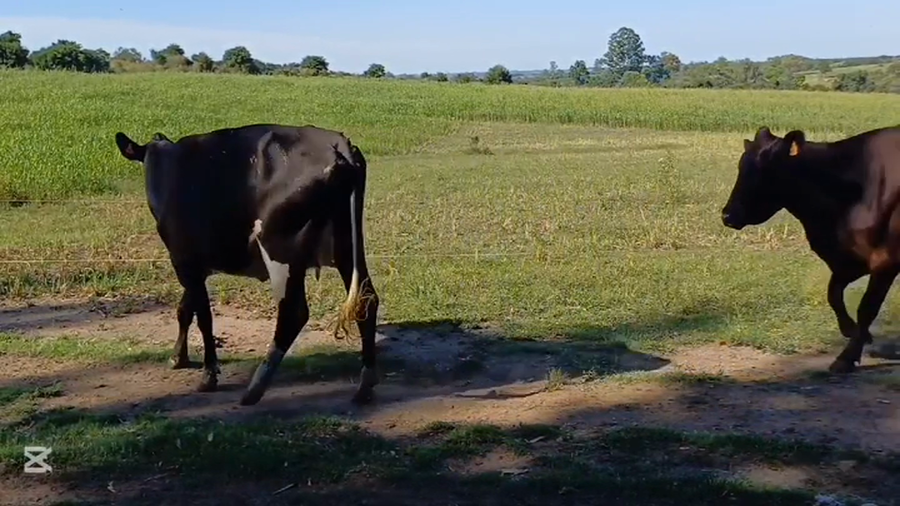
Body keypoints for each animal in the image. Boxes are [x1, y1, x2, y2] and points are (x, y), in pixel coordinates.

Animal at [114, 123, 380, 406]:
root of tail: (336, 145)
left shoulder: (183, 259)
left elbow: (203, 316)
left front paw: (208, 374)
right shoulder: (195, 265)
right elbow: (185, 308)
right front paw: (179, 357)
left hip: (279, 248)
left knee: (293, 313)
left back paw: (255, 388)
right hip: (347, 247)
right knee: (366, 300)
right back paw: (365, 385)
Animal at [721, 125, 900, 374]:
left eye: (766, 170)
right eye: (741, 166)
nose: (727, 215)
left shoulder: (885, 260)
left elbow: (866, 308)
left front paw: (847, 357)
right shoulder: (849, 261)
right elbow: (833, 294)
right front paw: (853, 331)